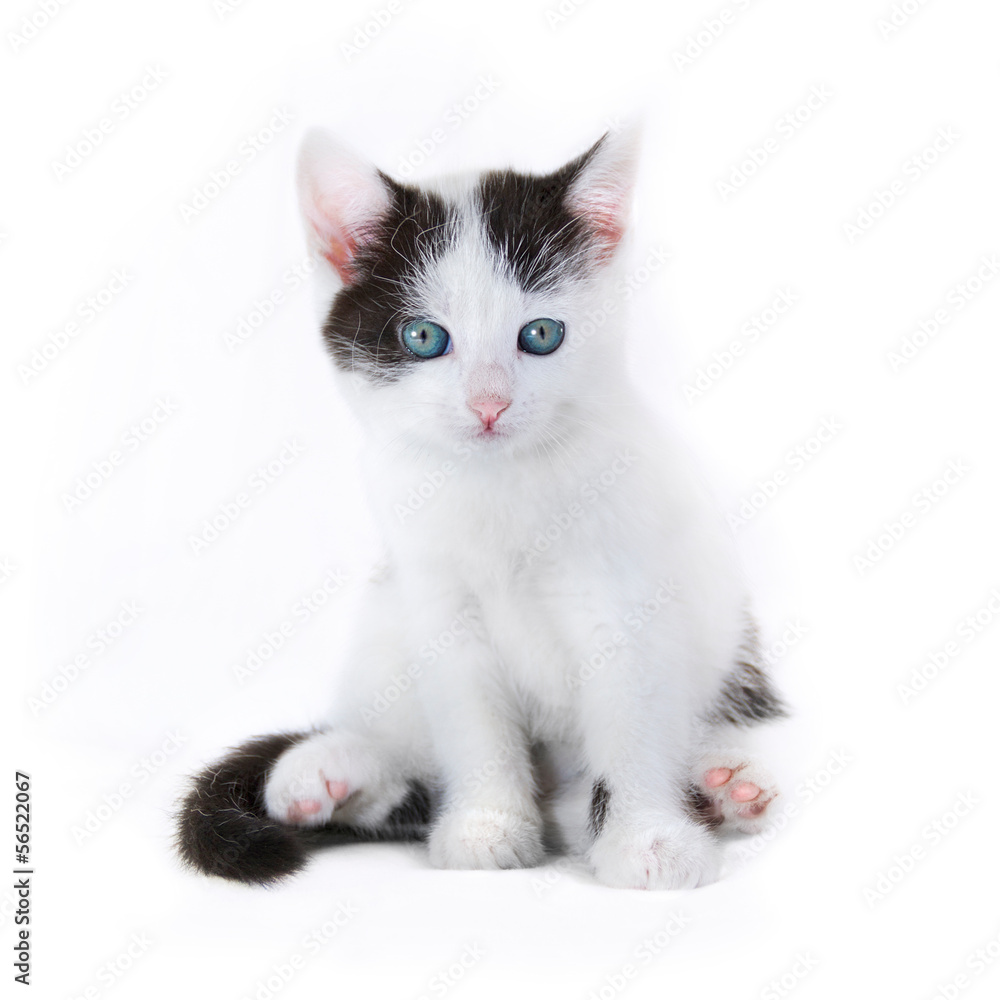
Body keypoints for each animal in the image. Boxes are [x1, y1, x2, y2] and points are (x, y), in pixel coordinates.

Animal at [176, 127, 784, 892]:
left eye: (542, 334)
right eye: (424, 338)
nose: (489, 404)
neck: (502, 487)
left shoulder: (628, 590)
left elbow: (631, 720)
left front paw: (647, 839)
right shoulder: (437, 603)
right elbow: (471, 723)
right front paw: (486, 824)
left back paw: (723, 784)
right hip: (386, 624)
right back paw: (329, 772)